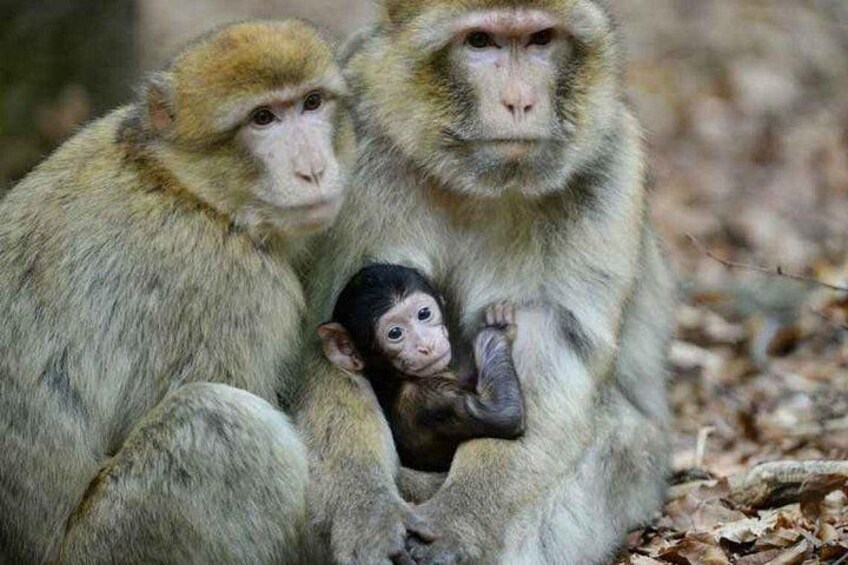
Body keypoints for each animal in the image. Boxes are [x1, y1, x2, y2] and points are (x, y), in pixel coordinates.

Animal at [0, 20, 353, 564]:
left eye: (311, 103)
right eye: (263, 118)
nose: (312, 170)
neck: (186, 188)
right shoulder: (230, 287)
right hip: (111, 545)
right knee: (222, 423)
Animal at [317, 264, 525, 473]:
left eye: (424, 314)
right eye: (395, 333)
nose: (426, 344)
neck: (396, 378)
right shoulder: (431, 398)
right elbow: (503, 413)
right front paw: (498, 328)